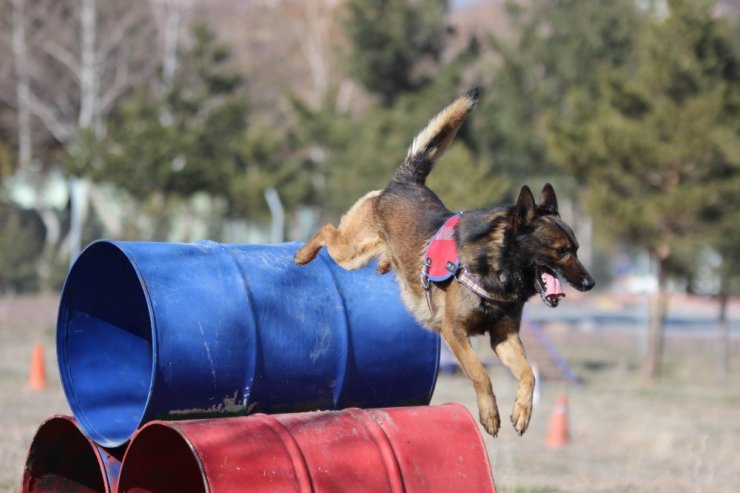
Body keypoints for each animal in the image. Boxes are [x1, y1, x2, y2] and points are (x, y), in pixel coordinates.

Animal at [294, 88, 596, 434]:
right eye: (561, 251)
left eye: (577, 248)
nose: (590, 283)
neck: (497, 264)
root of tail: (405, 182)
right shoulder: (454, 331)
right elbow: (480, 373)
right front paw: (489, 414)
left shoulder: (504, 336)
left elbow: (528, 374)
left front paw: (522, 412)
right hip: (350, 251)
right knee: (327, 230)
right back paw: (302, 254)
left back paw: (385, 265)